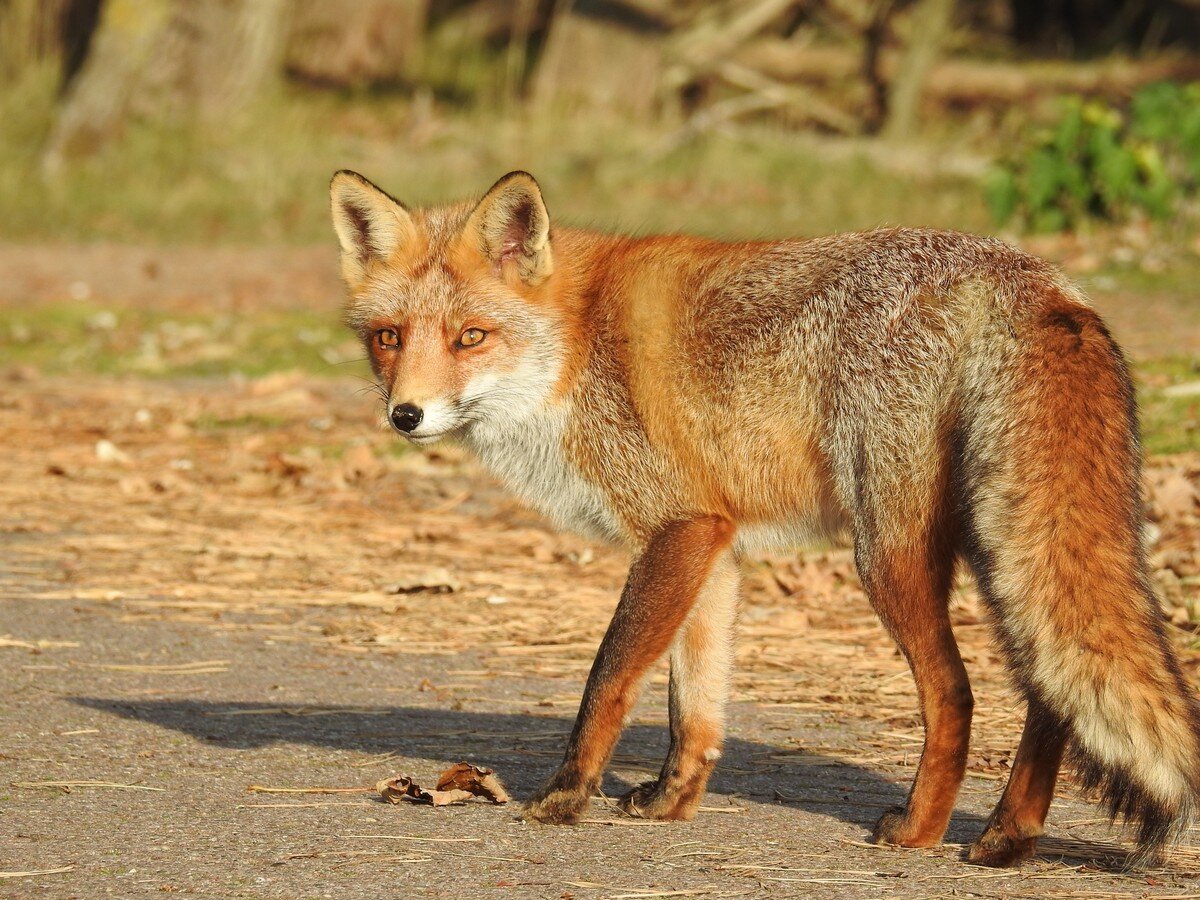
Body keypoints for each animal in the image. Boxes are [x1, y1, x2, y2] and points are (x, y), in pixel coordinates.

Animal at [326, 168, 1200, 868]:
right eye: (389, 338)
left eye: (471, 336)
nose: (406, 414)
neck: (575, 346)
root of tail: (1031, 276)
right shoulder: (711, 541)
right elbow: (694, 706)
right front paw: (670, 804)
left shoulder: (676, 529)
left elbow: (610, 678)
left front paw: (565, 796)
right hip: (1002, 551)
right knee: (1051, 696)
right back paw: (1005, 839)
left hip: (890, 552)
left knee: (957, 692)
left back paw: (920, 831)